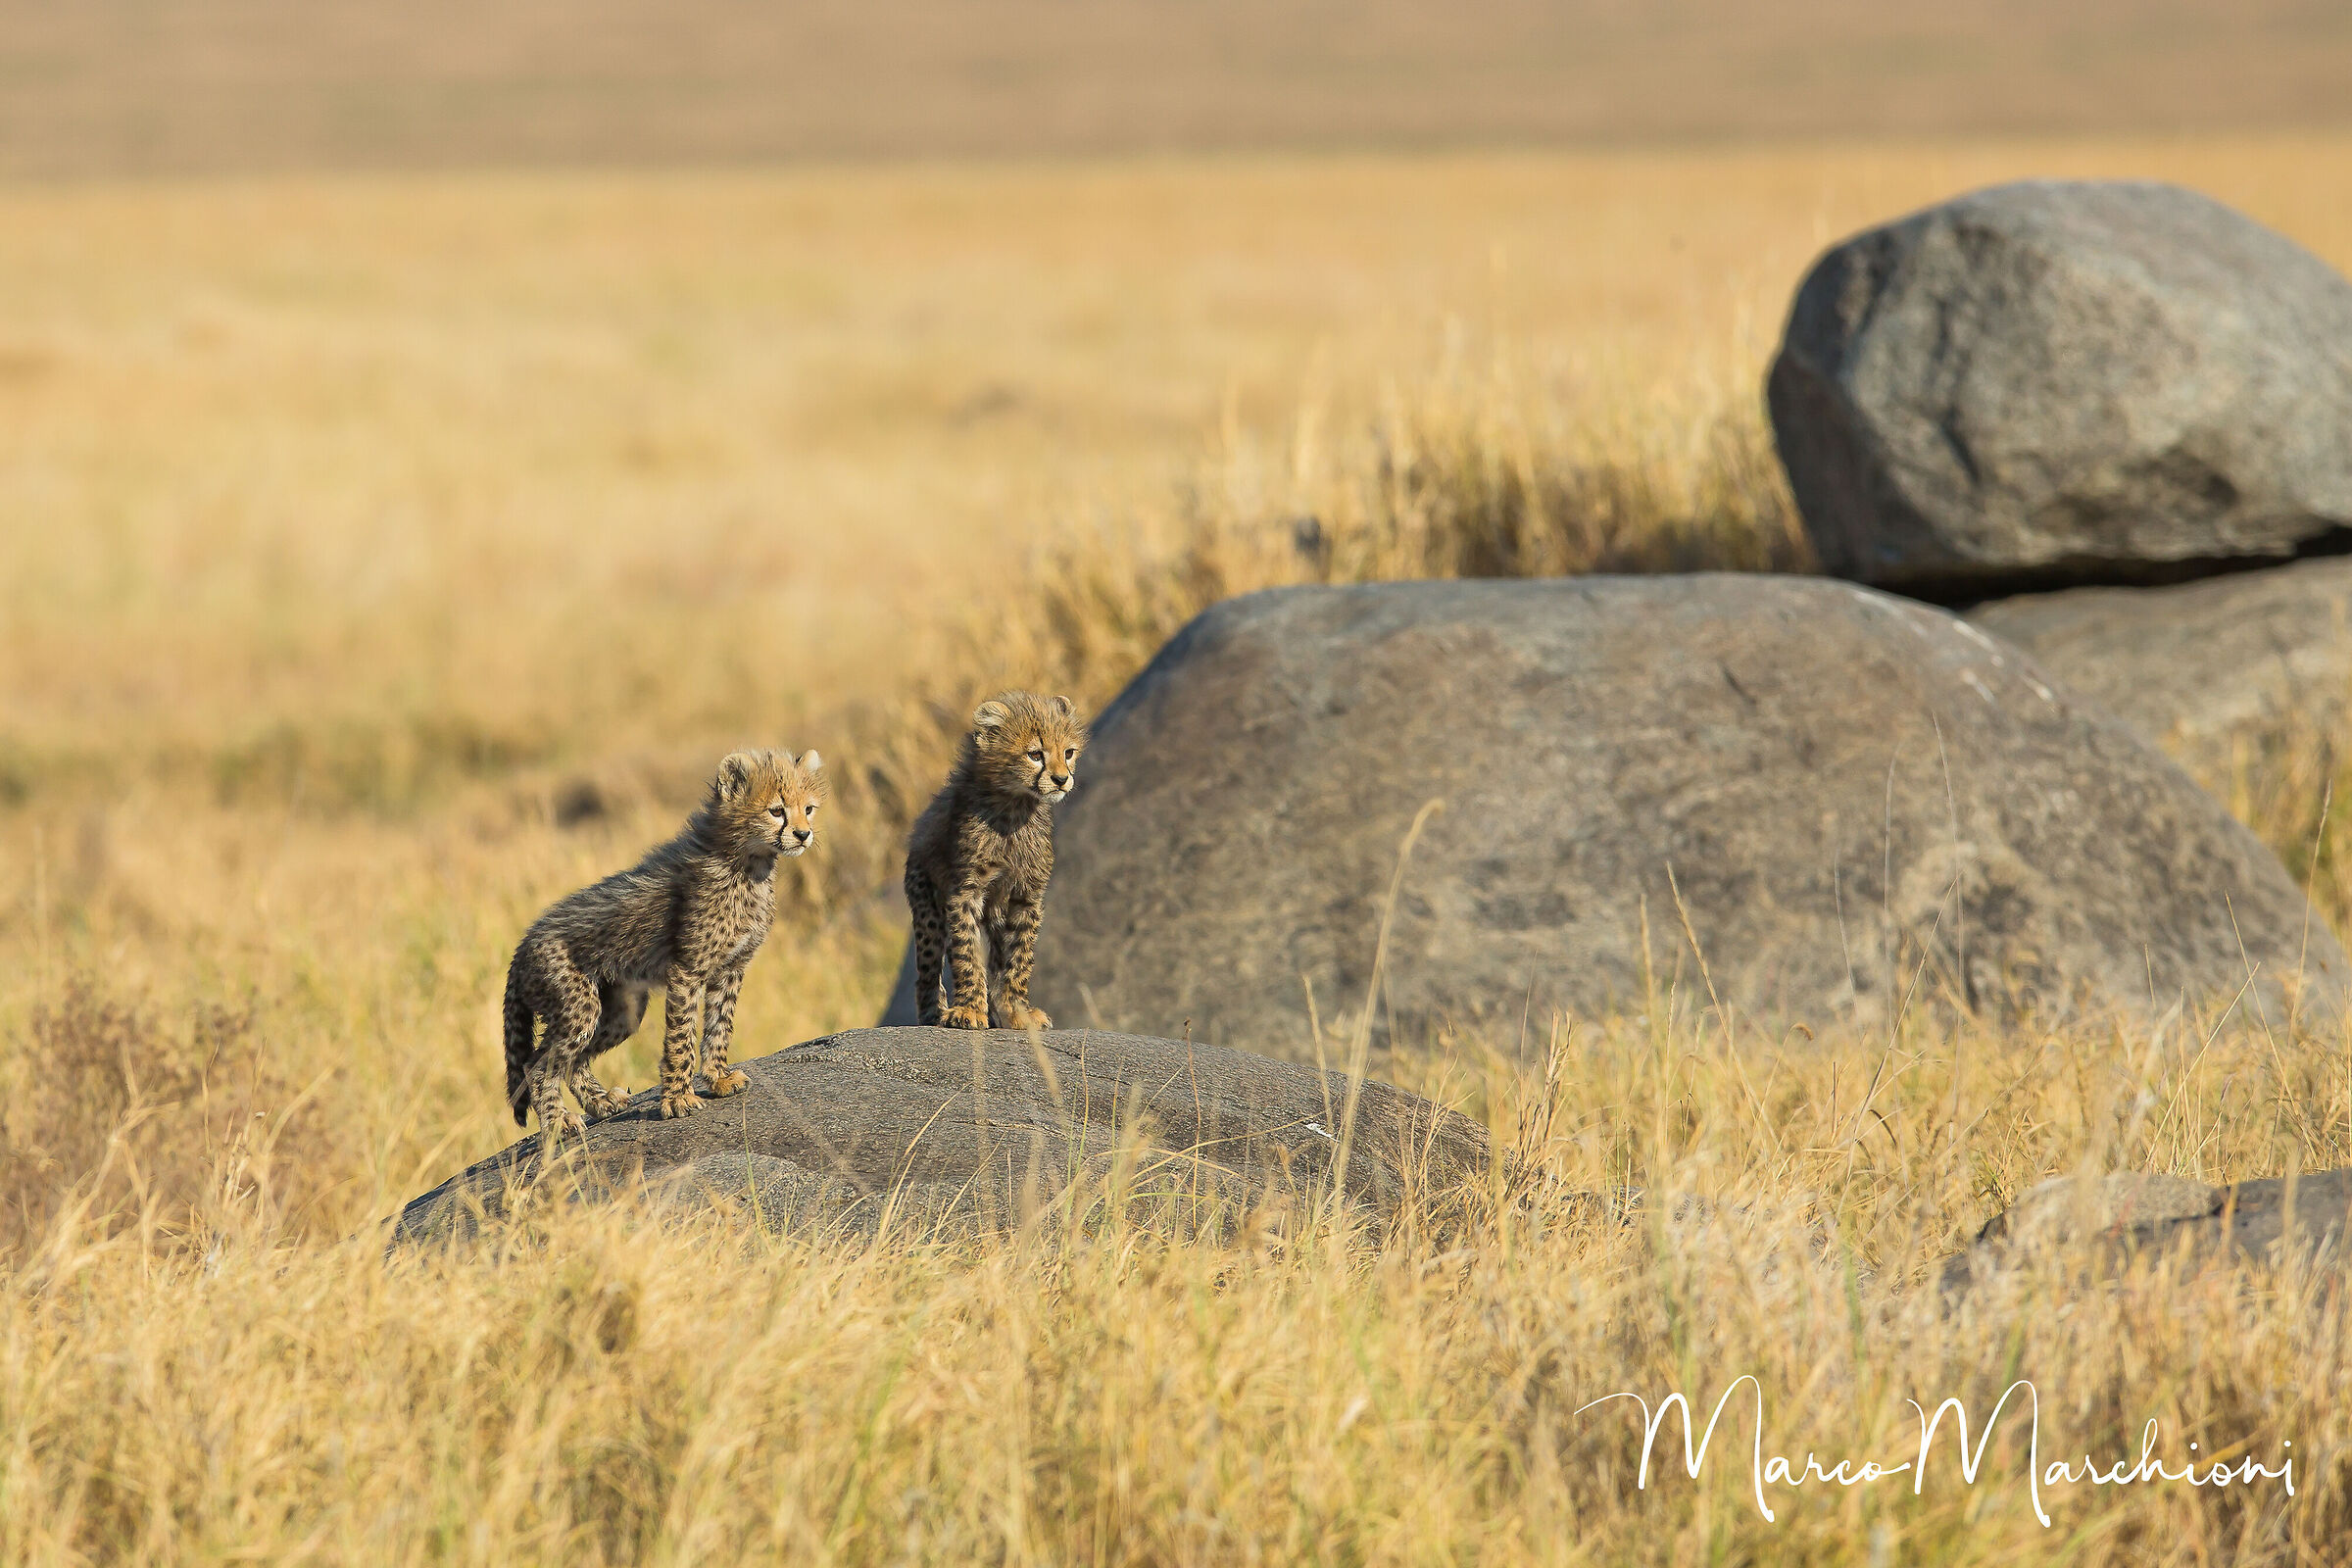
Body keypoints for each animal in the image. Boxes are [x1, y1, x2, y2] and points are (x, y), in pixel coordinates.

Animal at [501, 748, 825, 1138]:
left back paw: (601, 1102)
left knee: (574, 1059)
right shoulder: (688, 969)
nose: (803, 834)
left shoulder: (731, 968)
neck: (745, 862)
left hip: (623, 1011)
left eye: (808, 808)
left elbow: (720, 1024)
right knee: (538, 1062)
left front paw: (718, 1078)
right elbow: (681, 1037)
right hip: (577, 1005)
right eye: (776, 810)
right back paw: (558, 1121)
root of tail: (523, 945)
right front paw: (678, 1099)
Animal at [904, 691, 1086, 1030]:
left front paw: (1017, 1010)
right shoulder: (965, 893)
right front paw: (968, 1009)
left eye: (1068, 752)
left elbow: (1018, 958)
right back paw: (934, 1013)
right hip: (927, 907)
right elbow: (966, 954)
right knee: (928, 968)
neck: (1014, 806)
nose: (1061, 779)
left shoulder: (1026, 895)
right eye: (1035, 754)